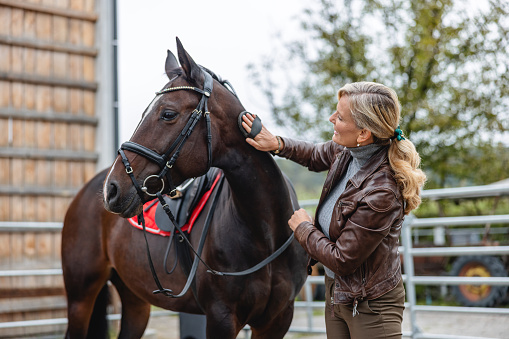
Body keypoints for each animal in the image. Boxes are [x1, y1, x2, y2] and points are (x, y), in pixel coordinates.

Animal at [62, 37, 310, 339]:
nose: (112, 189)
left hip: (135, 299)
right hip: (80, 298)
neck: (265, 232)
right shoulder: (221, 318)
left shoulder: (277, 320)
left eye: (168, 114)